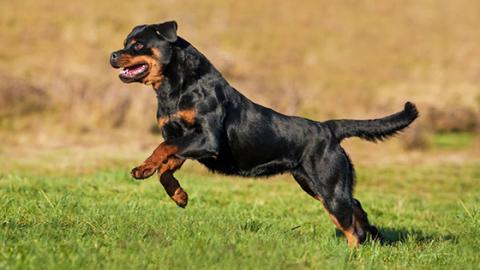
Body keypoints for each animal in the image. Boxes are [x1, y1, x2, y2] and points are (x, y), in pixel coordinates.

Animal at [110, 20, 418, 247]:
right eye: (125, 43)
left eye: (138, 45)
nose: (112, 54)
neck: (176, 88)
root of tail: (329, 127)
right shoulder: (182, 138)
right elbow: (166, 167)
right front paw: (179, 196)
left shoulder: (207, 139)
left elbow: (161, 150)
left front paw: (143, 169)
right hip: (315, 183)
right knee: (355, 207)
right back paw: (373, 234)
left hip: (328, 185)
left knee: (349, 225)